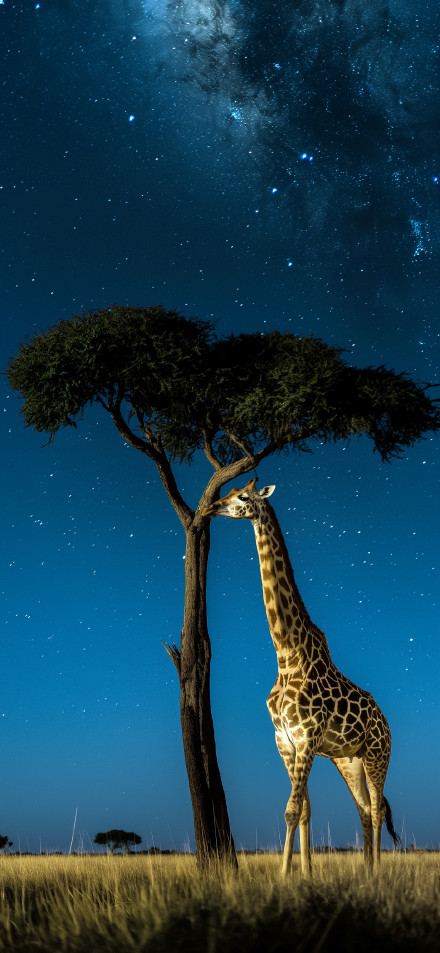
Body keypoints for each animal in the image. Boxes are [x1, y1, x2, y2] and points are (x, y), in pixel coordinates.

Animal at [203, 478, 399, 876]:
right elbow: (304, 809)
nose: (212, 507)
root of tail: (387, 724)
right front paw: (304, 874)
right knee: (364, 810)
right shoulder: (285, 740)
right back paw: (365, 871)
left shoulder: (307, 736)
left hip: (377, 754)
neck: (287, 654)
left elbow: (292, 809)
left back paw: (375, 873)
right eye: (229, 491)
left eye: (243, 496)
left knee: (376, 808)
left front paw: (283, 877)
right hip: (349, 760)